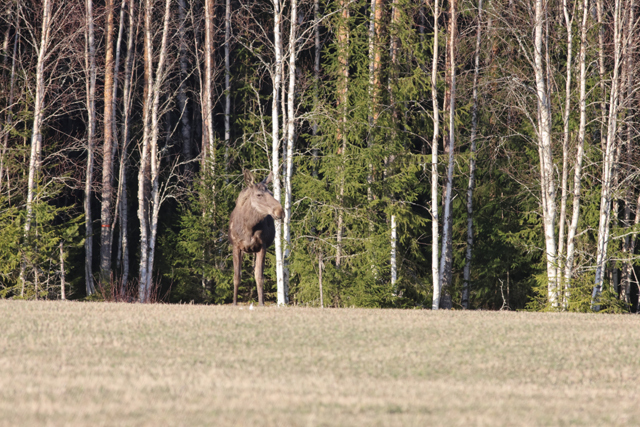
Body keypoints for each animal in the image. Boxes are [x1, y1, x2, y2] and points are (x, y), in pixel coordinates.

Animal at [228, 169, 282, 306]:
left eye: (272, 193)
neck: (249, 227)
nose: (280, 211)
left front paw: (261, 303)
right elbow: (237, 276)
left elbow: (259, 277)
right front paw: (234, 303)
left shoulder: (262, 246)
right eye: (258, 195)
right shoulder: (236, 246)